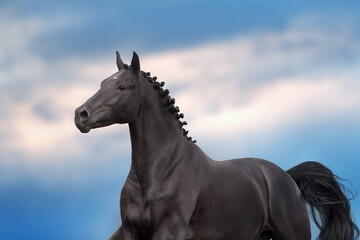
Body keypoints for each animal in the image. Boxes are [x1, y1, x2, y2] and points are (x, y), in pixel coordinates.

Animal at [74, 51, 358, 239]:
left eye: (122, 87)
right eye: (102, 83)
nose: (81, 114)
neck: (156, 173)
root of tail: (287, 178)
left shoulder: (168, 231)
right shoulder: (129, 231)